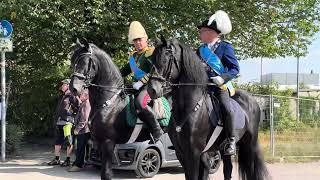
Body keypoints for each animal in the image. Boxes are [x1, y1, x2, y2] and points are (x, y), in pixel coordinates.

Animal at [148, 37, 270, 180]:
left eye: (166, 58)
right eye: (152, 59)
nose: (152, 89)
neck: (188, 108)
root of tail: (253, 101)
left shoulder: (194, 153)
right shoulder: (181, 153)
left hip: (249, 144)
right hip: (224, 150)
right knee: (228, 169)